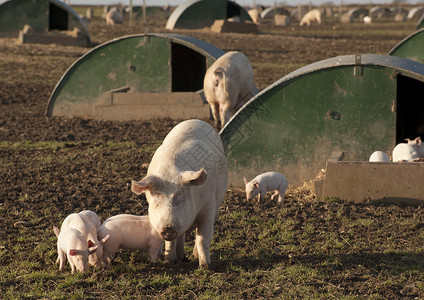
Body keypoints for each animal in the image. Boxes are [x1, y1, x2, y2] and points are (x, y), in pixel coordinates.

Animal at [131, 119, 229, 268]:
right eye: (157, 198)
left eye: (180, 198)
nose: (168, 228)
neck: (170, 174)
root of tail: (195, 120)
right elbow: (171, 242)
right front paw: (169, 262)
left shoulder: (209, 207)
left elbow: (202, 238)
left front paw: (205, 266)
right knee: (181, 236)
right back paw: (182, 258)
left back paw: (193, 256)